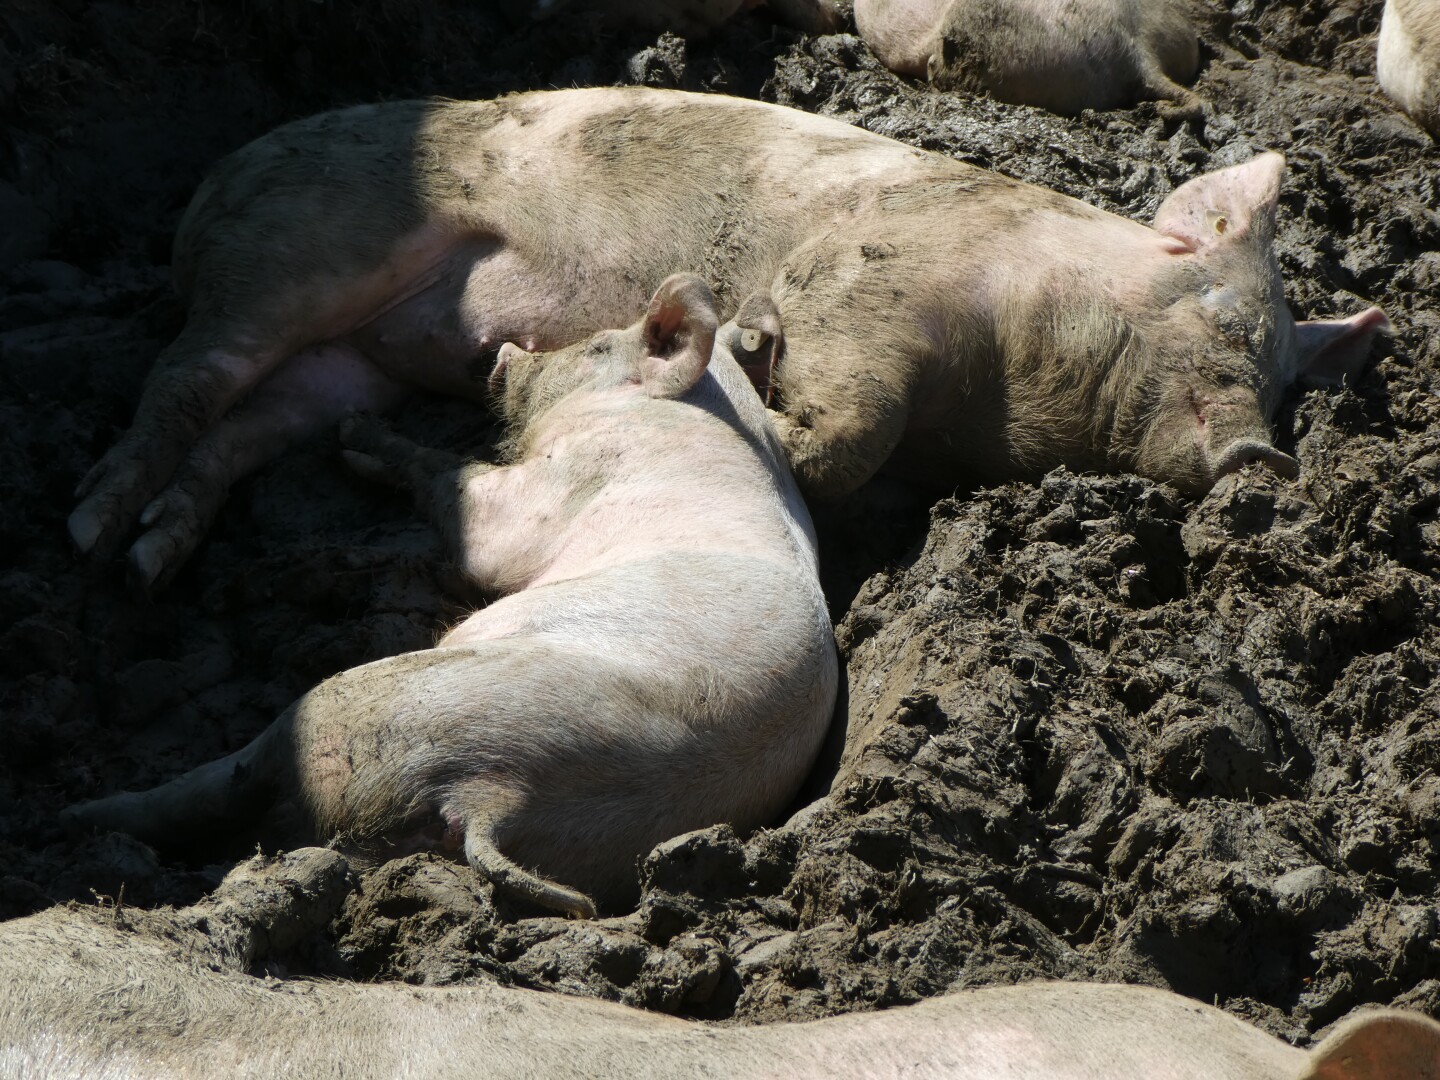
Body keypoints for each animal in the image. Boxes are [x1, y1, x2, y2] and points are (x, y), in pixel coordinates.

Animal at [61, 87, 1388, 587]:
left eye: (1283, 384)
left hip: (348, 368)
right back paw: (91, 531)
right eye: (1225, 323)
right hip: (292, 263)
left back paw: (153, 555)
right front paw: (754, 364)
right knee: (182, 379)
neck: (1002, 394)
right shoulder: (870, 282)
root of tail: (204, 190)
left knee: (240, 432)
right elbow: (847, 418)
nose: (1267, 461)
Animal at [61, 275, 840, 915]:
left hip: (353, 707)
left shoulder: (556, 487)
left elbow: (470, 500)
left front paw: (353, 437)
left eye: (595, 346)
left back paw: (86, 815)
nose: (506, 352)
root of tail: (493, 791)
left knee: (229, 778)